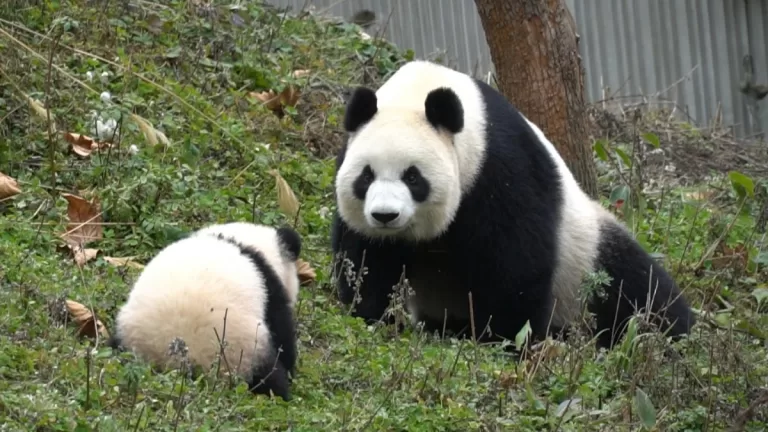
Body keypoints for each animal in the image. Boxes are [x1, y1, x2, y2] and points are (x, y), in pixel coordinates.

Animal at [331, 60, 695, 349]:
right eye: (366, 176)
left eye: (412, 177)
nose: (385, 215)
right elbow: (364, 259)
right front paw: (375, 316)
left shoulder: (499, 167)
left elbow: (516, 263)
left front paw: (504, 337)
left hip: (586, 257)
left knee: (636, 291)